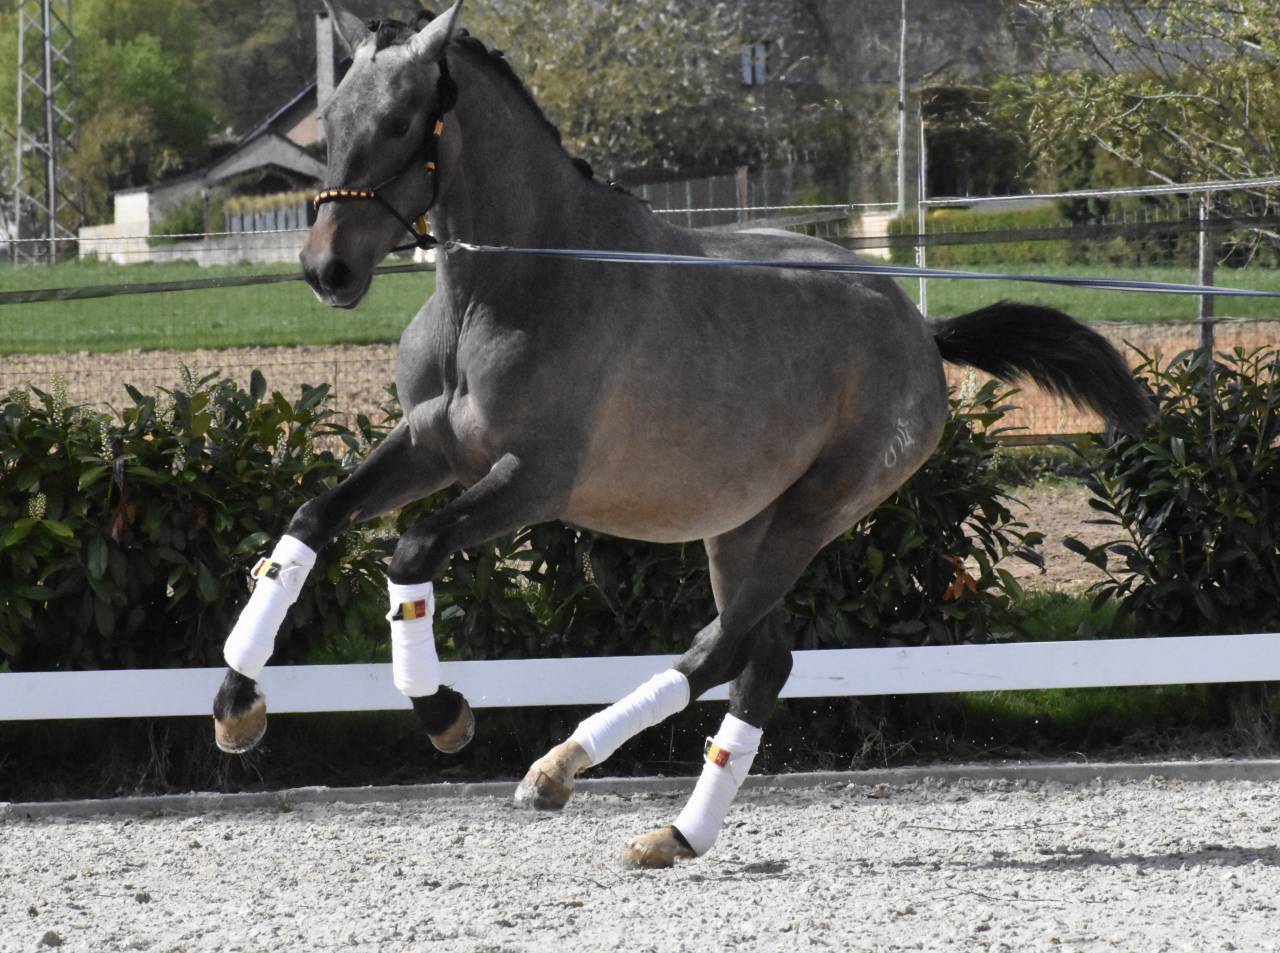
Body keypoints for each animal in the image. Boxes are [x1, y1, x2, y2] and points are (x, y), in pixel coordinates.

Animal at [211, 2, 1153, 868]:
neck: (515, 285)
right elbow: (308, 523)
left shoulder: (533, 479)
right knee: (763, 659)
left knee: (724, 646)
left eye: (405, 121)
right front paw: (236, 708)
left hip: (813, 512)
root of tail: (920, 327)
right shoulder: (432, 448)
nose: (327, 270)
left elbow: (412, 552)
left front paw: (444, 714)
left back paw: (561, 767)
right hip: (738, 525)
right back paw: (676, 832)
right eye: (333, 122)